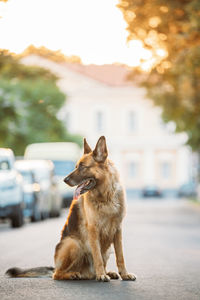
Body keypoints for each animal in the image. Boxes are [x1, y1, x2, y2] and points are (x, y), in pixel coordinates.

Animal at [5, 137, 136, 282]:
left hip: (105, 250)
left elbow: (120, 256)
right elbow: (97, 256)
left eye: (83, 167)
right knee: (57, 274)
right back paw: (75, 274)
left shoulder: (117, 230)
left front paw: (124, 274)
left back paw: (107, 273)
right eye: (76, 167)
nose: (64, 180)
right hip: (73, 244)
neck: (106, 196)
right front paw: (102, 275)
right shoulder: (93, 230)